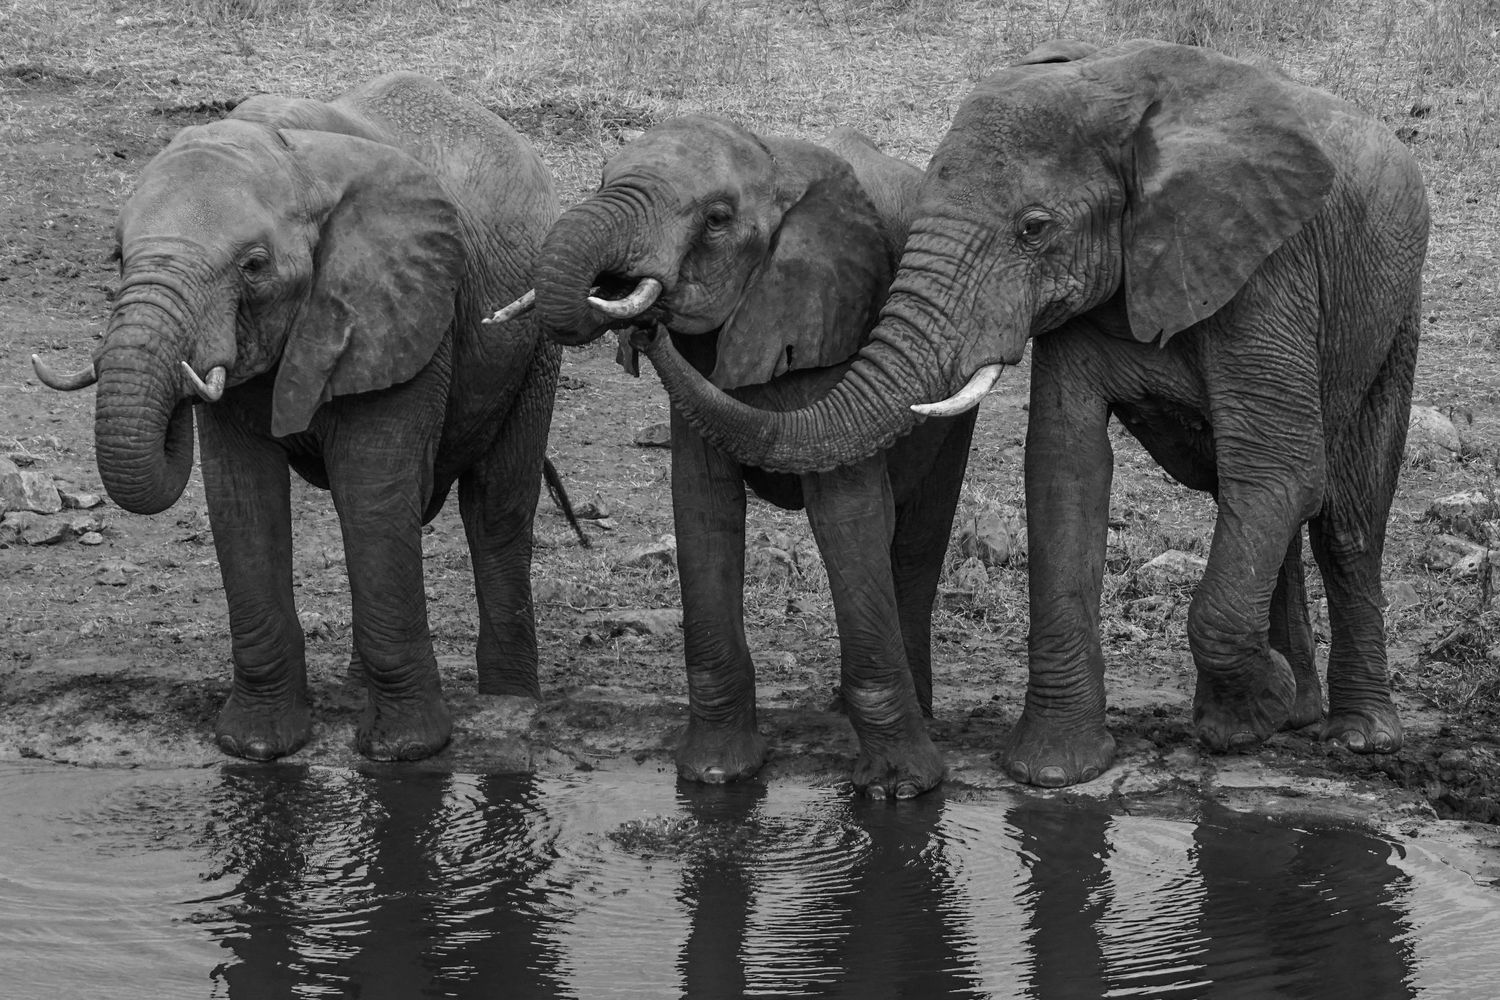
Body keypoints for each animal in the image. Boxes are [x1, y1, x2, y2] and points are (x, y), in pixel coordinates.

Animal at [31, 73, 563, 762]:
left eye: (254, 266)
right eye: (118, 257)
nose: (183, 382)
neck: (289, 156)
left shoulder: (405, 309)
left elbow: (373, 493)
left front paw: (403, 753)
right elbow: (243, 501)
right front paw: (256, 748)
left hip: (536, 336)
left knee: (496, 508)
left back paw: (511, 704)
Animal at [506, 115, 977, 797]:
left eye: (717, 219)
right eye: (601, 180)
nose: (644, 321)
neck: (773, 161)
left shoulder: (835, 319)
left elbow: (849, 518)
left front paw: (898, 790)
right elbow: (703, 507)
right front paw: (714, 776)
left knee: (915, 538)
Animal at [622, 40, 1430, 787]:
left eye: (1034, 228)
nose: (644, 313)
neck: (1117, 88)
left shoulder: (1268, 269)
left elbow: (1279, 471)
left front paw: (1252, 714)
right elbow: (1066, 466)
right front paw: (1057, 771)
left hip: (1395, 302)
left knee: (1344, 514)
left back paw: (1355, 737)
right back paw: (1292, 714)